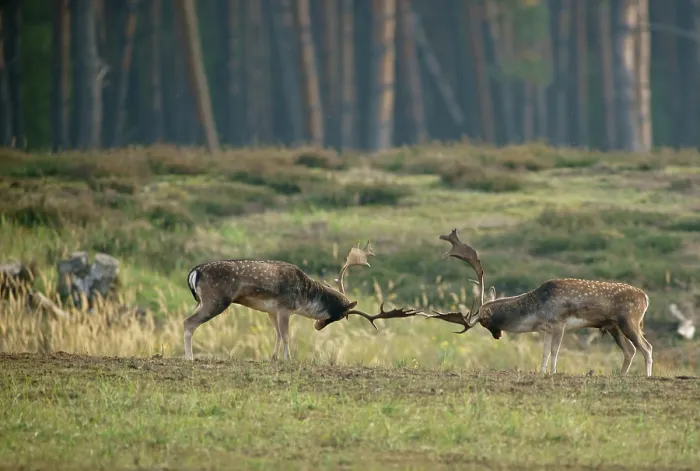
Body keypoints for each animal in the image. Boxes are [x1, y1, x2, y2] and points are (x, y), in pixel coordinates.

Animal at [184, 241, 421, 361]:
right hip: (215, 300)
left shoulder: (271, 311)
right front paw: (289, 360)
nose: (318, 326)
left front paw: (273, 358)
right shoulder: (285, 308)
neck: (304, 296)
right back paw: (189, 358)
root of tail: (194, 272)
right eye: (344, 315)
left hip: (203, 300)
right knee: (188, 322)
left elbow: (276, 335)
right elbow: (286, 336)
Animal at [424, 228, 654, 377]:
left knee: (647, 348)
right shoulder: (546, 329)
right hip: (614, 326)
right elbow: (544, 352)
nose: (497, 336)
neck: (536, 310)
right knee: (630, 351)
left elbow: (554, 352)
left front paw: (553, 372)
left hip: (630, 321)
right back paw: (622, 376)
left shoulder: (559, 324)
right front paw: (543, 371)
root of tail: (645, 298)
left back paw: (647, 376)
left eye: (484, 321)